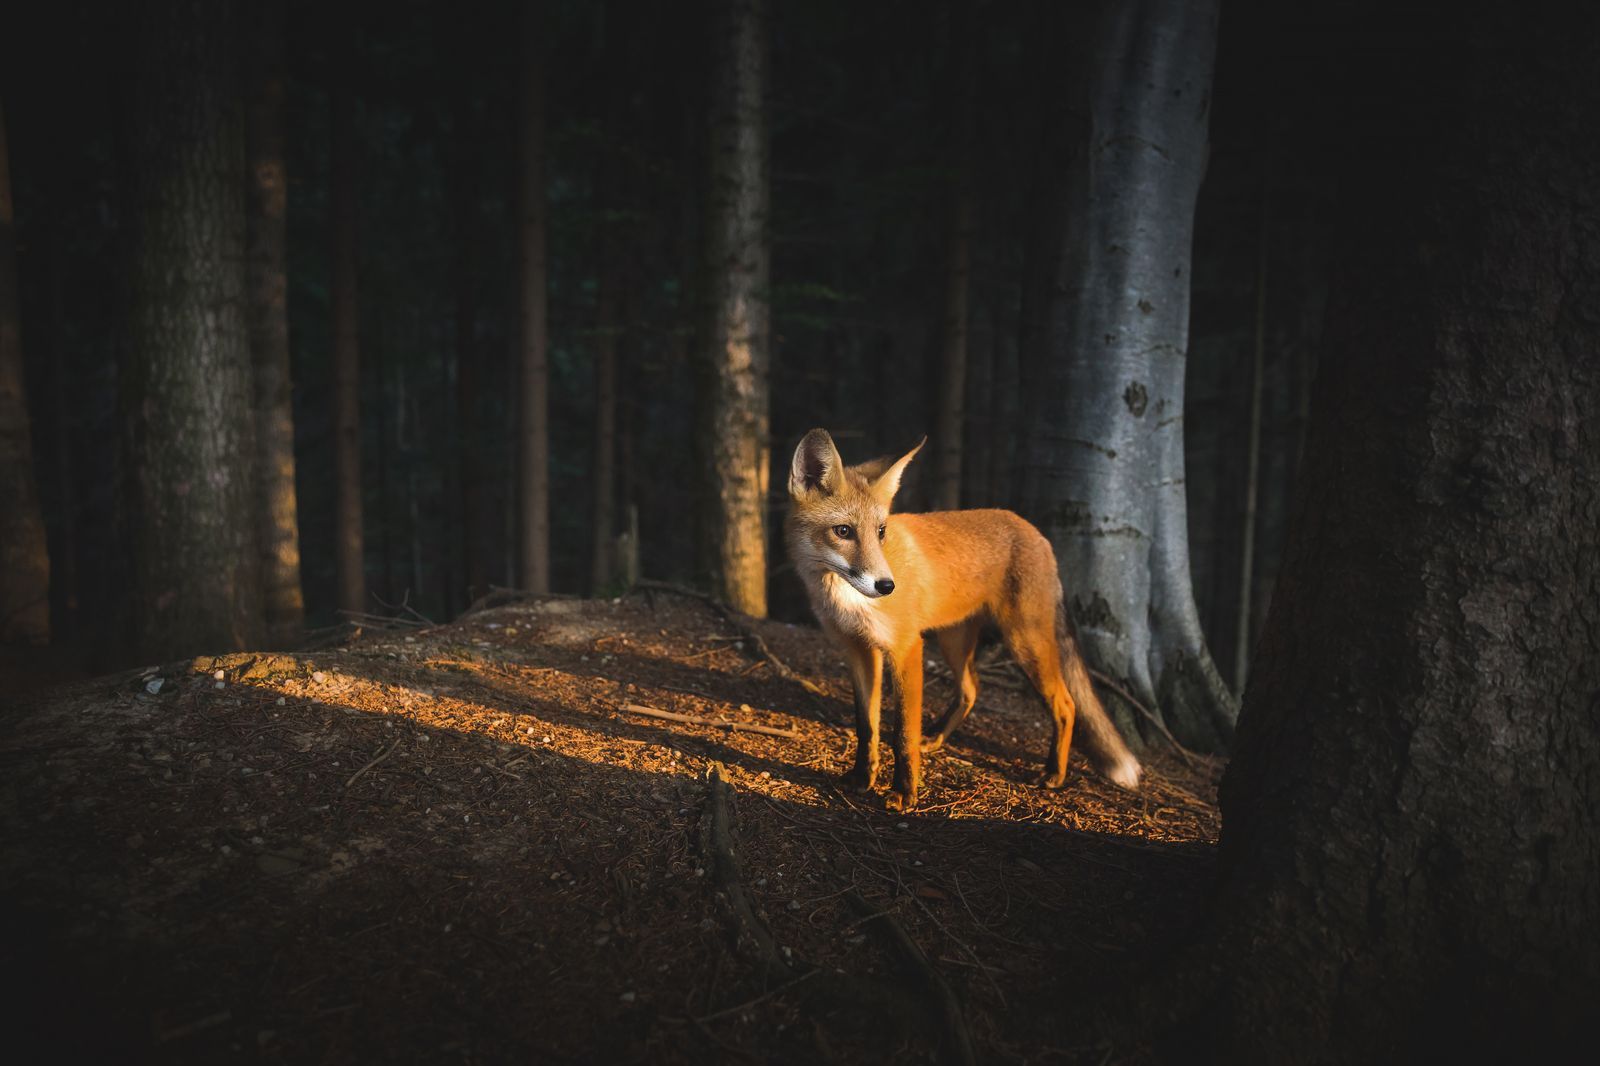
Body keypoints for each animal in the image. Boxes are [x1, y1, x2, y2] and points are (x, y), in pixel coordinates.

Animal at [785, 427, 1142, 812]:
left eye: (881, 531)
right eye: (843, 531)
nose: (887, 586)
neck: (844, 598)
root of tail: (1035, 531)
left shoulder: (906, 648)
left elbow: (901, 732)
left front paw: (905, 791)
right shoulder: (858, 650)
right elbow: (867, 726)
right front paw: (862, 778)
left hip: (1024, 642)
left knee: (1066, 704)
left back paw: (1054, 774)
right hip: (953, 641)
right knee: (971, 689)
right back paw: (936, 738)